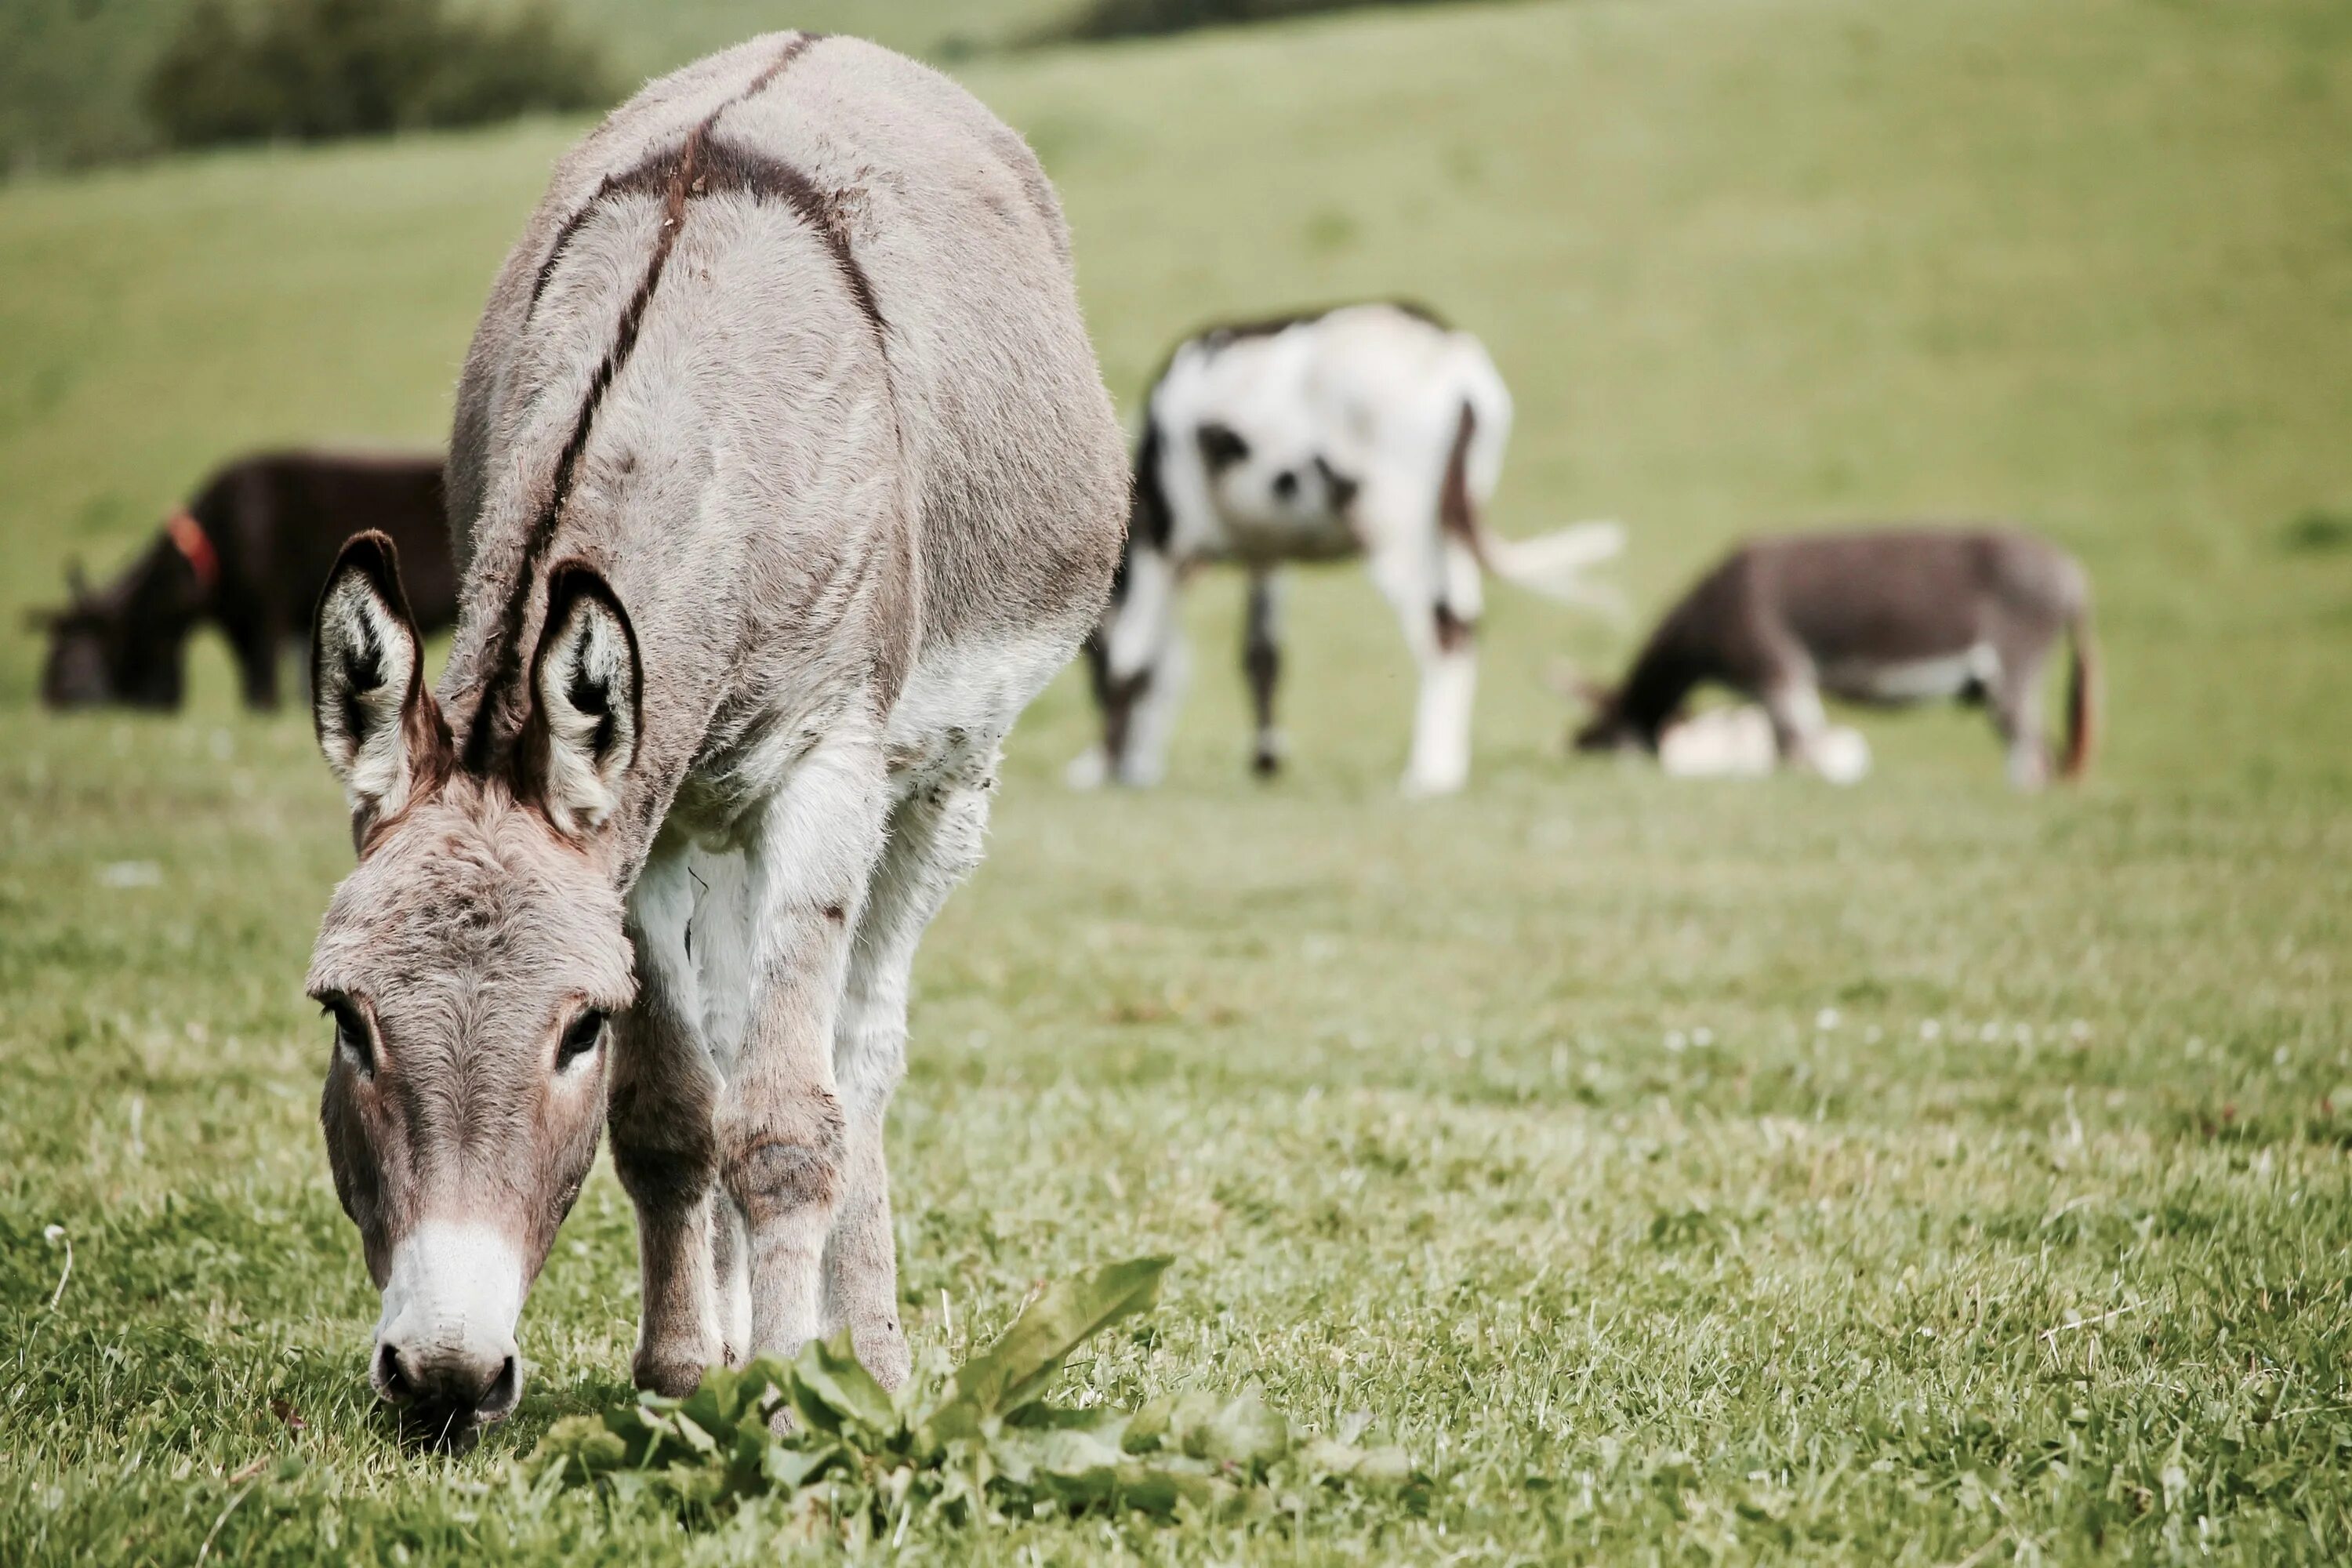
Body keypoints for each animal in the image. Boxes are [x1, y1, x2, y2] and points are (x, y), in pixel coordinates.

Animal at [1077, 303, 1618, 799]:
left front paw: (1101, 767)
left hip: (1394, 529)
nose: (1132, 767)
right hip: (1450, 526)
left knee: (1441, 632)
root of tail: (1449, 357)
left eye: (1089, 660)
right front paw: (1265, 761)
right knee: (1464, 624)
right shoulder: (1267, 551)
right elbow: (1261, 656)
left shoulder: (1161, 539)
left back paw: (1431, 773)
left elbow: (1134, 662)